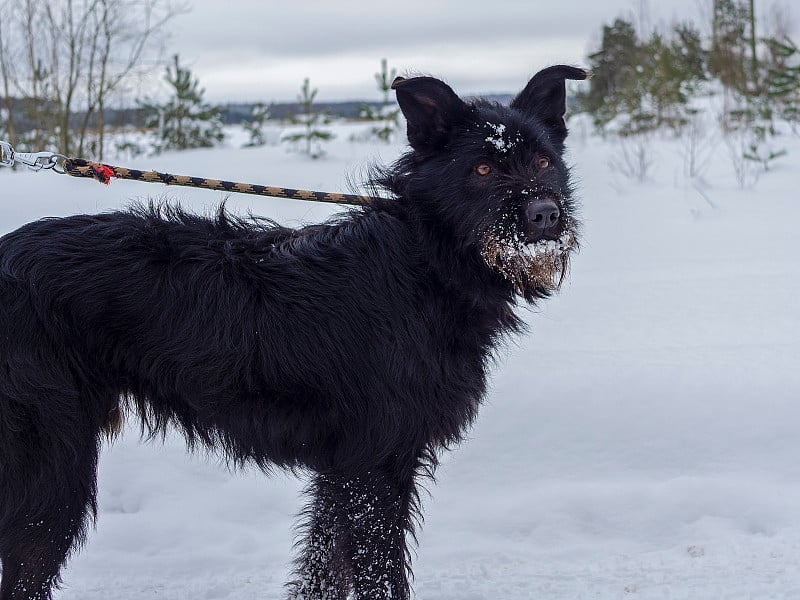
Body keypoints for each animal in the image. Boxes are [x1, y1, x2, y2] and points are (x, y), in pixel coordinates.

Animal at [0, 65, 588, 600]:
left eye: (544, 160)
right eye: (484, 168)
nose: (545, 216)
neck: (426, 260)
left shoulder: (342, 469)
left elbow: (324, 569)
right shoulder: (376, 465)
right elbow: (379, 577)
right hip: (51, 469)